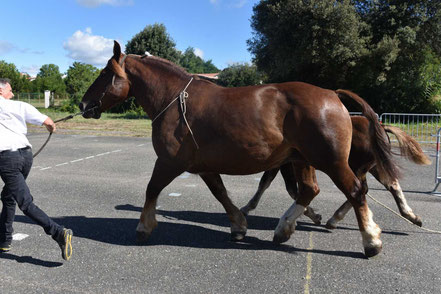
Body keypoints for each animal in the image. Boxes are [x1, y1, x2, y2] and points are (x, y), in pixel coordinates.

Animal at [80, 41, 398, 258]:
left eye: (105, 72)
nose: (84, 104)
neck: (174, 100)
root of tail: (333, 94)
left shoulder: (169, 162)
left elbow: (152, 189)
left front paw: (144, 227)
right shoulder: (204, 167)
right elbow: (221, 194)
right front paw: (238, 226)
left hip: (330, 161)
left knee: (355, 191)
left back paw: (370, 241)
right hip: (301, 159)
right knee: (308, 191)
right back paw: (284, 229)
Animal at [239, 116, 428, 226]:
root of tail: (380, 127)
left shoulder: (281, 164)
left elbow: (275, 185)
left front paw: (247, 207)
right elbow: (280, 187)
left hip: (354, 167)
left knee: (361, 189)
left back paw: (335, 218)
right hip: (373, 166)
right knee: (391, 185)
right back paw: (412, 216)